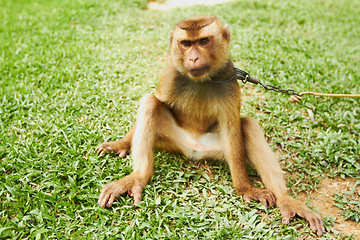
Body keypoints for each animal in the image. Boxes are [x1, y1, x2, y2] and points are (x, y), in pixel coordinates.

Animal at [94, 15, 324, 235]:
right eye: (186, 43)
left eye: (204, 41)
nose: (194, 57)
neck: (201, 80)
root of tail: (194, 149)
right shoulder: (170, 75)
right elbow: (157, 99)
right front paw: (121, 144)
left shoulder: (228, 79)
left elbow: (232, 128)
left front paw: (245, 188)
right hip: (171, 141)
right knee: (150, 103)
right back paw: (138, 177)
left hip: (215, 149)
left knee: (247, 125)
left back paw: (285, 199)